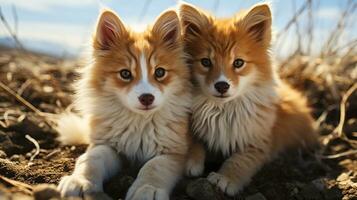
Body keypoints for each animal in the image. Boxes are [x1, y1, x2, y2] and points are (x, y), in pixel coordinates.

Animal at [56, 8, 192, 200]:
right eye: (125, 74)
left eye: (159, 72)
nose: (147, 98)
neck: (140, 122)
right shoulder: (107, 145)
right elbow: (91, 158)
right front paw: (80, 181)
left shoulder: (174, 152)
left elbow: (154, 167)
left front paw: (147, 188)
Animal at [179, 2, 316, 197]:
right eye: (205, 62)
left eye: (238, 63)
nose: (222, 86)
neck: (222, 110)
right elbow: (194, 140)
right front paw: (191, 159)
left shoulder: (258, 142)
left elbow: (240, 161)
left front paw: (226, 178)